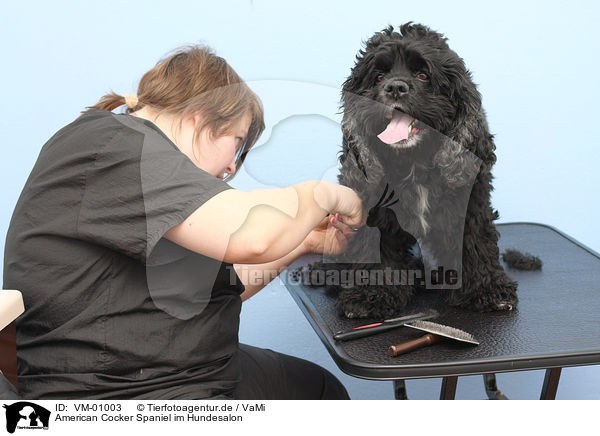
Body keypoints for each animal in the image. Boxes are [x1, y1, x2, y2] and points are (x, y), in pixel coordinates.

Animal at [300, 23, 540, 316]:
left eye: (423, 75)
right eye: (379, 77)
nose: (395, 87)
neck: (414, 161)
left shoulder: (470, 201)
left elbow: (475, 242)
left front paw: (486, 289)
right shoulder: (373, 207)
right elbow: (375, 248)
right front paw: (370, 295)